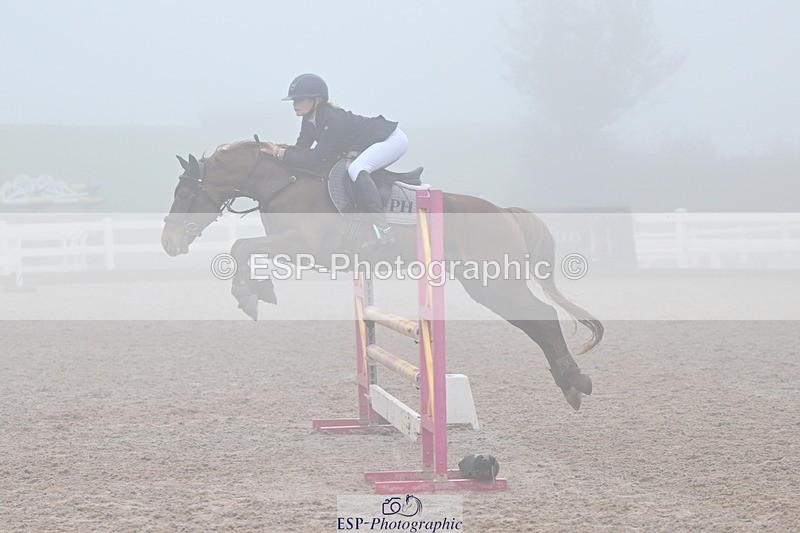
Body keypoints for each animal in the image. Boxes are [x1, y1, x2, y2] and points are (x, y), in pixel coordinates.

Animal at [161, 141, 603, 410]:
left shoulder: (306, 247)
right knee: (536, 322)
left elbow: (240, 247)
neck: (284, 182)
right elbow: (243, 249)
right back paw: (571, 384)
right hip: (485, 285)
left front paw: (252, 296)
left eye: (183, 193)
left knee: (542, 317)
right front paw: (256, 291)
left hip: (496, 283)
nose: (167, 243)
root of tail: (504, 212)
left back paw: (575, 381)